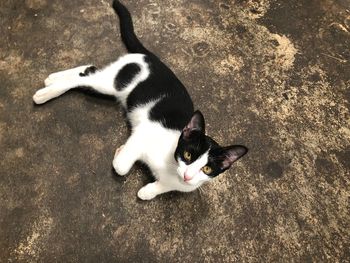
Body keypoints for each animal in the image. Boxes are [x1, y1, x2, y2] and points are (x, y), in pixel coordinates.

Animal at [31, 1, 247, 201]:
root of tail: (151, 57)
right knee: (83, 78)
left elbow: (151, 191)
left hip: (110, 84)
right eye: (188, 155)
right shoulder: (143, 133)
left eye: (208, 169)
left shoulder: (182, 185)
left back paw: (52, 79)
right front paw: (120, 152)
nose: (187, 176)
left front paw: (148, 190)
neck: (171, 166)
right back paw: (45, 93)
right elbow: (121, 166)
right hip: (115, 84)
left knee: (88, 70)